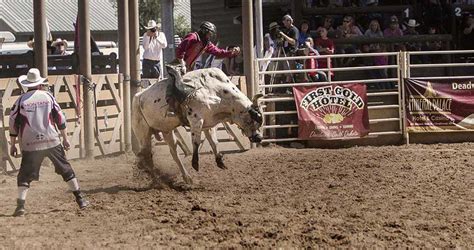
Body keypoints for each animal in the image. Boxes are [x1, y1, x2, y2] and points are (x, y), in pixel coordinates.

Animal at [131, 67, 262, 185]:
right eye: (251, 120)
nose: (259, 138)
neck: (217, 91)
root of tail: (138, 96)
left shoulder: (208, 123)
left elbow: (214, 142)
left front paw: (220, 161)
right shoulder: (196, 120)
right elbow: (196, 142)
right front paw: (195, 163)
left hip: (166, 131)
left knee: (173, 152)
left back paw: (186, 177)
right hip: (143, 133)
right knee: (146, 154)